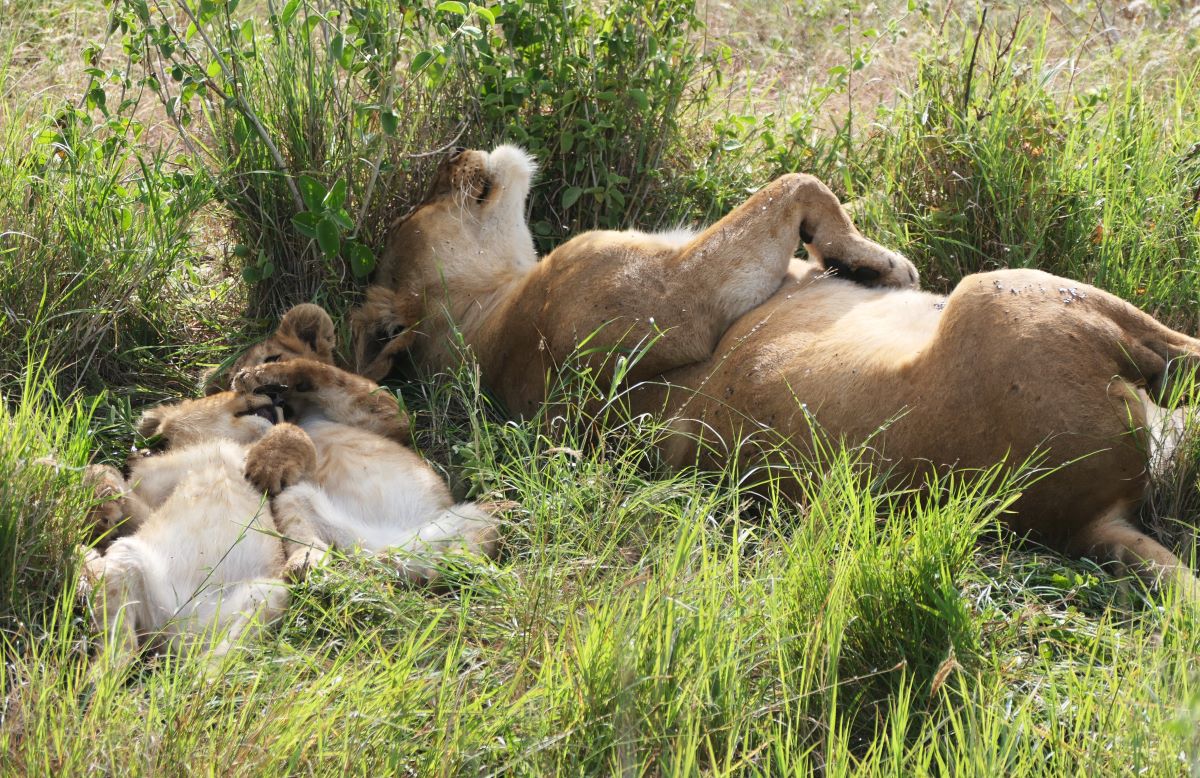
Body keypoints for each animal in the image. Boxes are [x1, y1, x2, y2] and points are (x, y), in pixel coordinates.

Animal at [338, 144, 1200, 595]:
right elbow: (799, 184)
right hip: (1015, 291)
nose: (456, 157)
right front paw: (883, 262)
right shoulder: (672, 295)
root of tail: (1082, 522)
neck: (490, 322)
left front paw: (859, 265)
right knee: (1184, 357)